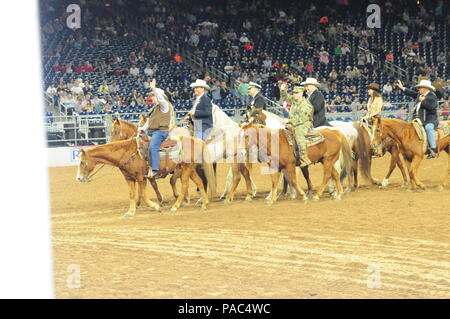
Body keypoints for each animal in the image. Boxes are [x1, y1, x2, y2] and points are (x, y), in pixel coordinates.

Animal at [76, 134, 217, 216]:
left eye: (82, 162)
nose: (79, 178)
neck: (127, 152)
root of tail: (197, 140)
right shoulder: (129, 178)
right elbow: (132, 194)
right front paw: (130, 211)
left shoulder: (140, 177)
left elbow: (143, 195)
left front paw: (156, 206)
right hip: (189, 168)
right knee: (199, 182)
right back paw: (204, 204)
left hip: (186, 169)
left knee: (184, 186)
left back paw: (175, 207)